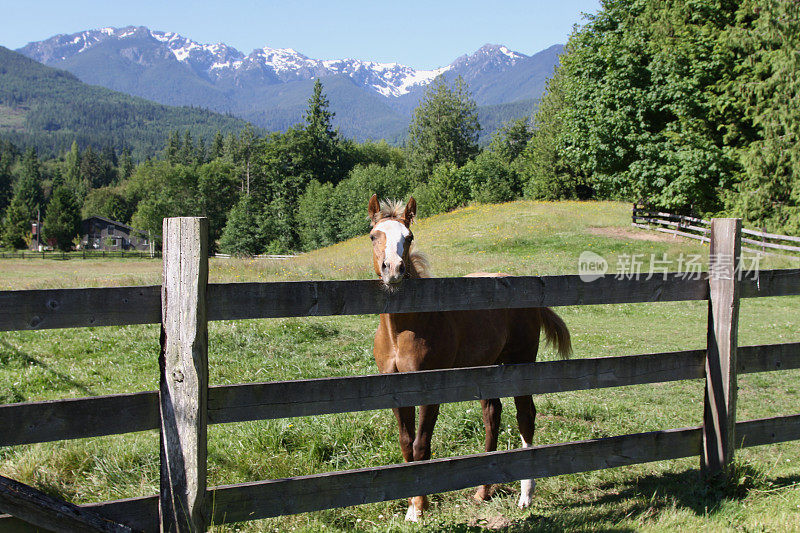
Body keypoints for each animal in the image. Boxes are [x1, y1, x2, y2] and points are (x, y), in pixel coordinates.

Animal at [368, 192, 568, 520]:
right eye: (374, 235)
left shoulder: (430, 388)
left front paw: (418, 509)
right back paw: (482, 492)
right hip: (487, 366)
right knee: (492, 416)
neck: (406, 329)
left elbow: (422, 445)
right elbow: (406, 444)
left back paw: (525, 496)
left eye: (409, 237)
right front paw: (410, 505)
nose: (393, 270)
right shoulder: (394, 387)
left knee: (525, 417)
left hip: (521, 362)